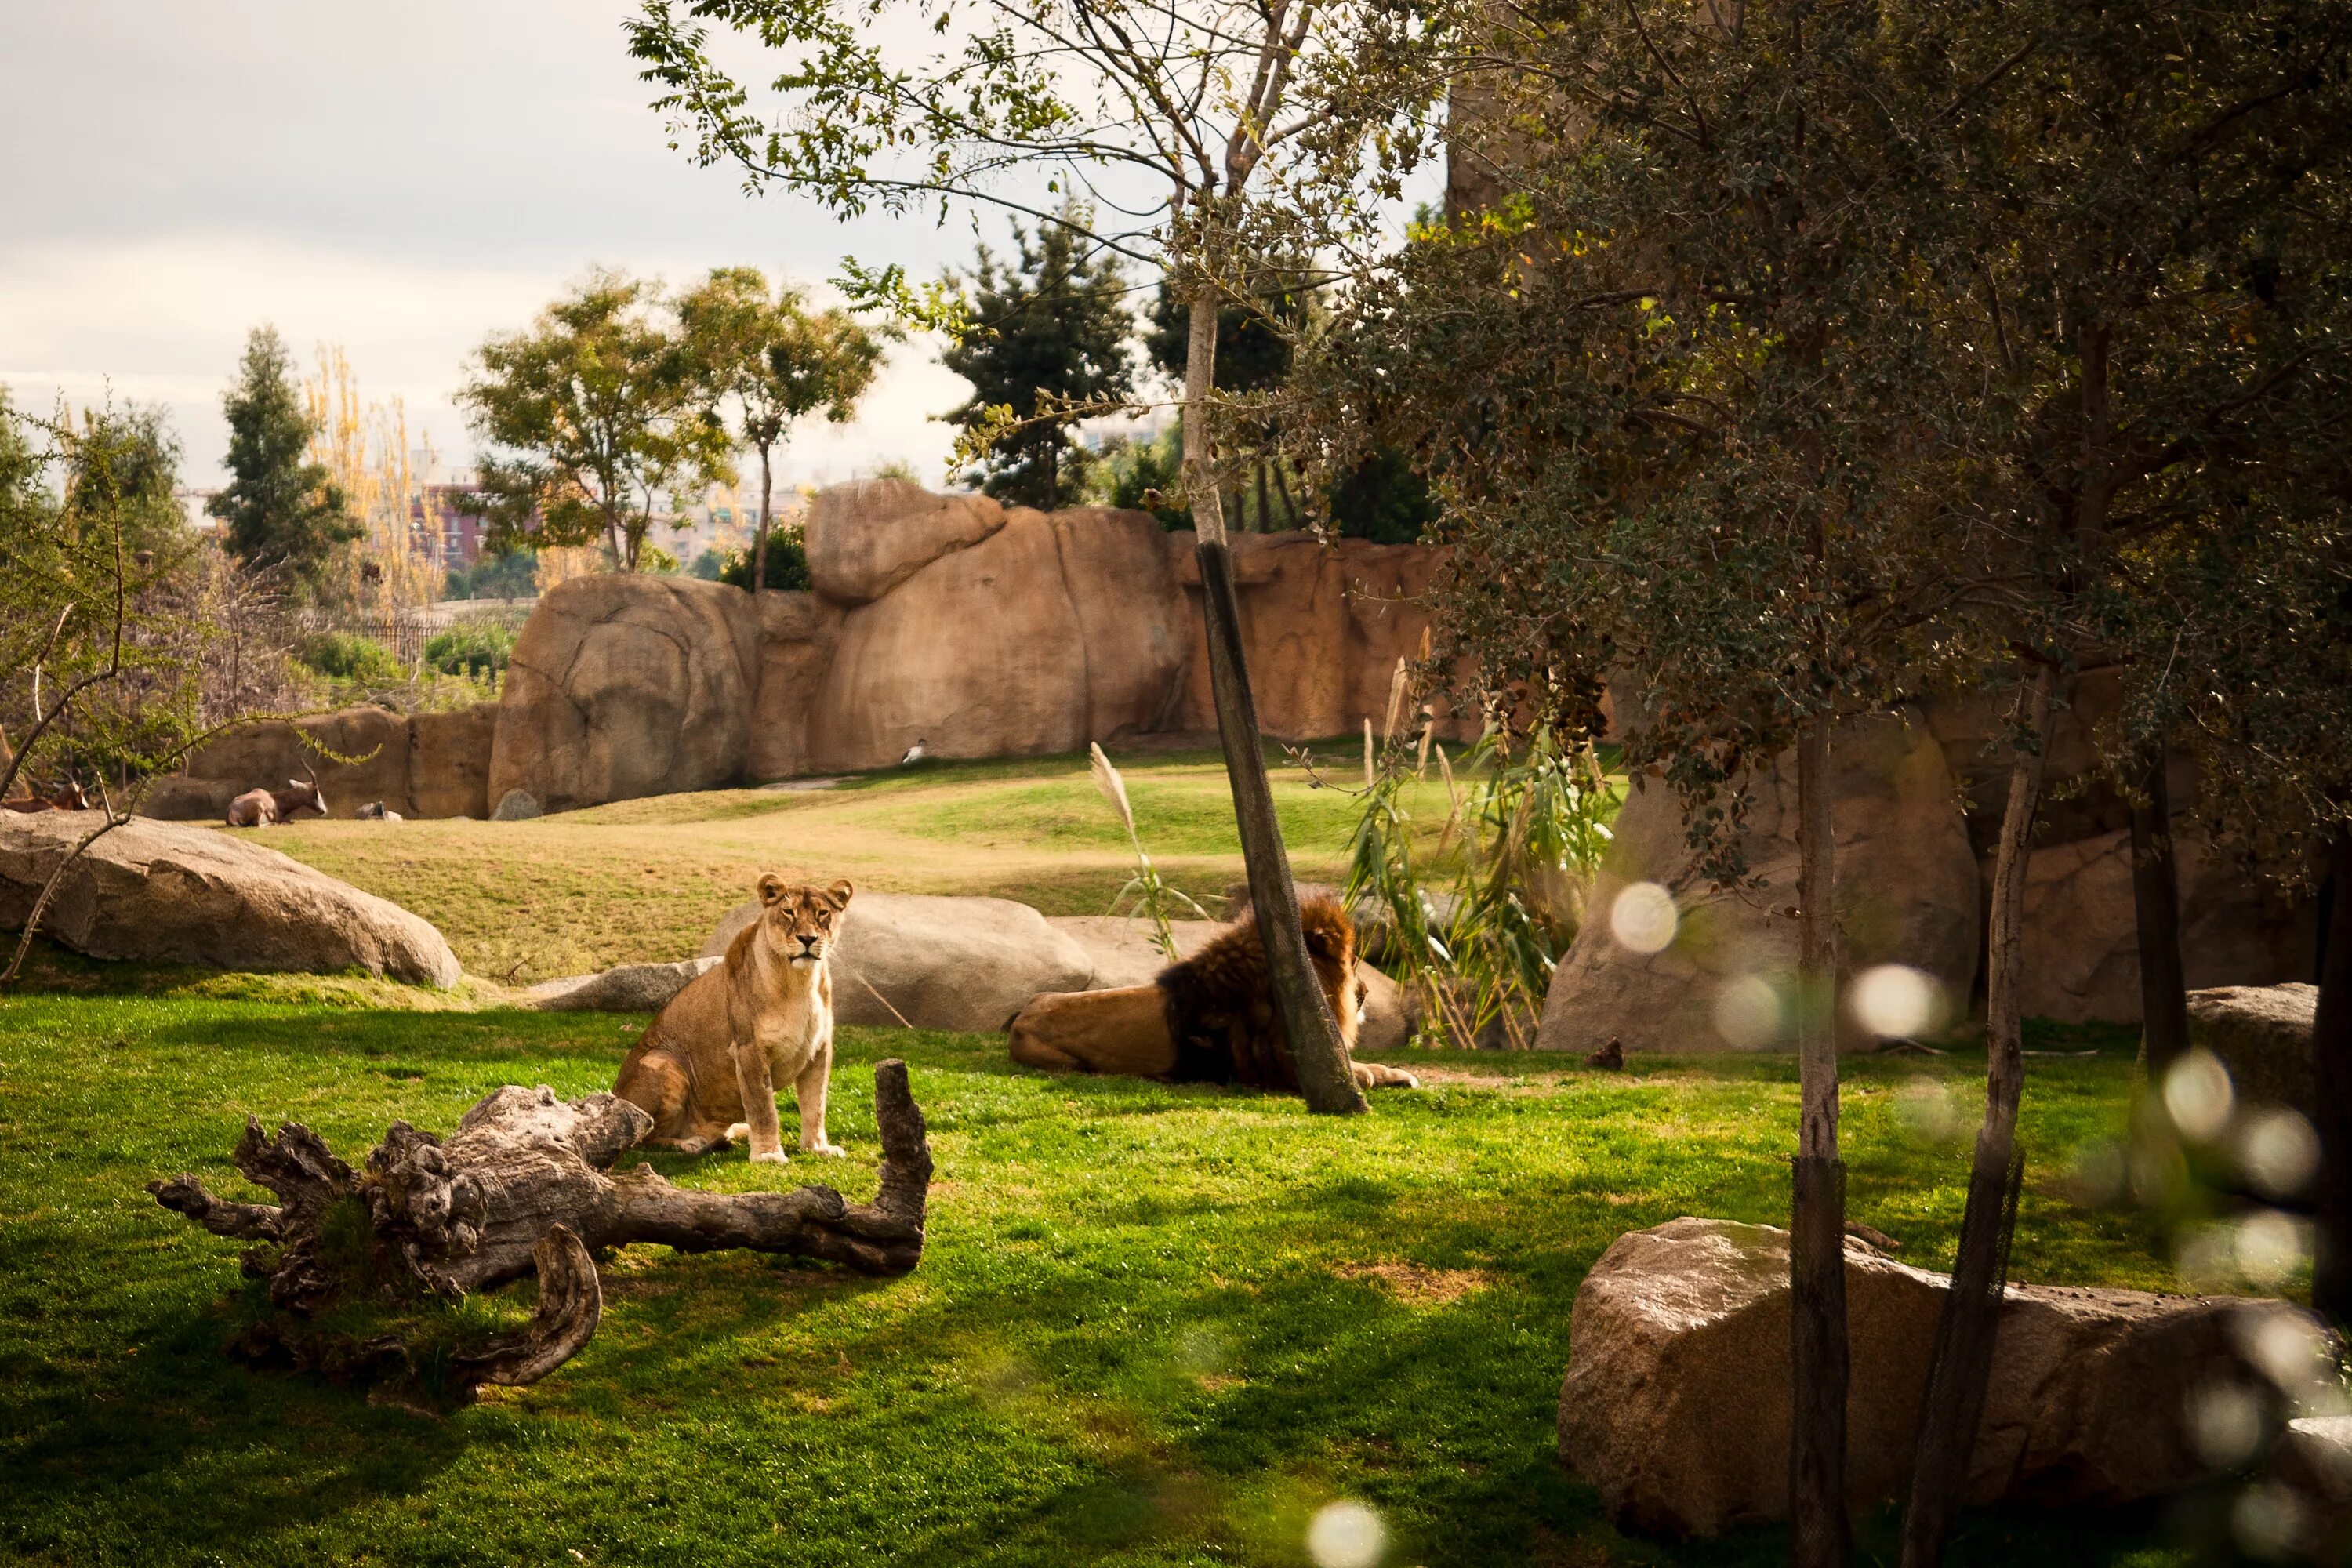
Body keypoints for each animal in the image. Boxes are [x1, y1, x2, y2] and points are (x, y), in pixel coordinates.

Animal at [1007, 893, 1411, 1091]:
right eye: (1354, 961)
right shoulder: (1287, 1069)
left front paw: (1399, 1074)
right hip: (1072, 1064)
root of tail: (1022, 1016)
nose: (1366, 992)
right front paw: (1390, 1075)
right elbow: (1360, 1070)